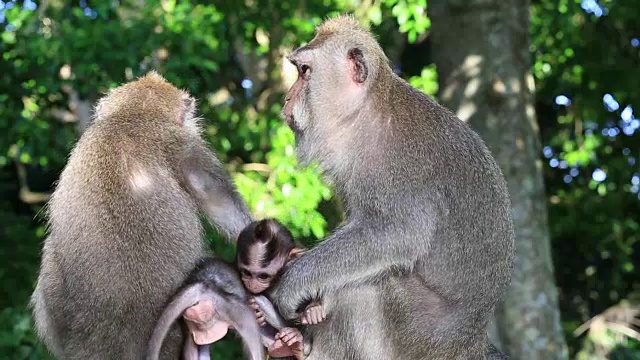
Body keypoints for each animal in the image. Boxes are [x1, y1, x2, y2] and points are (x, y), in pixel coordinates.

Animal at [268, 14, 516, 360]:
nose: (287, 98)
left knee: (364, 287)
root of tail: (470, 342)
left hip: (422, 337)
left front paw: (295, 282)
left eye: (304, 72)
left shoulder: (401, 164)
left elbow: (399, 233)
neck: (366, 113)